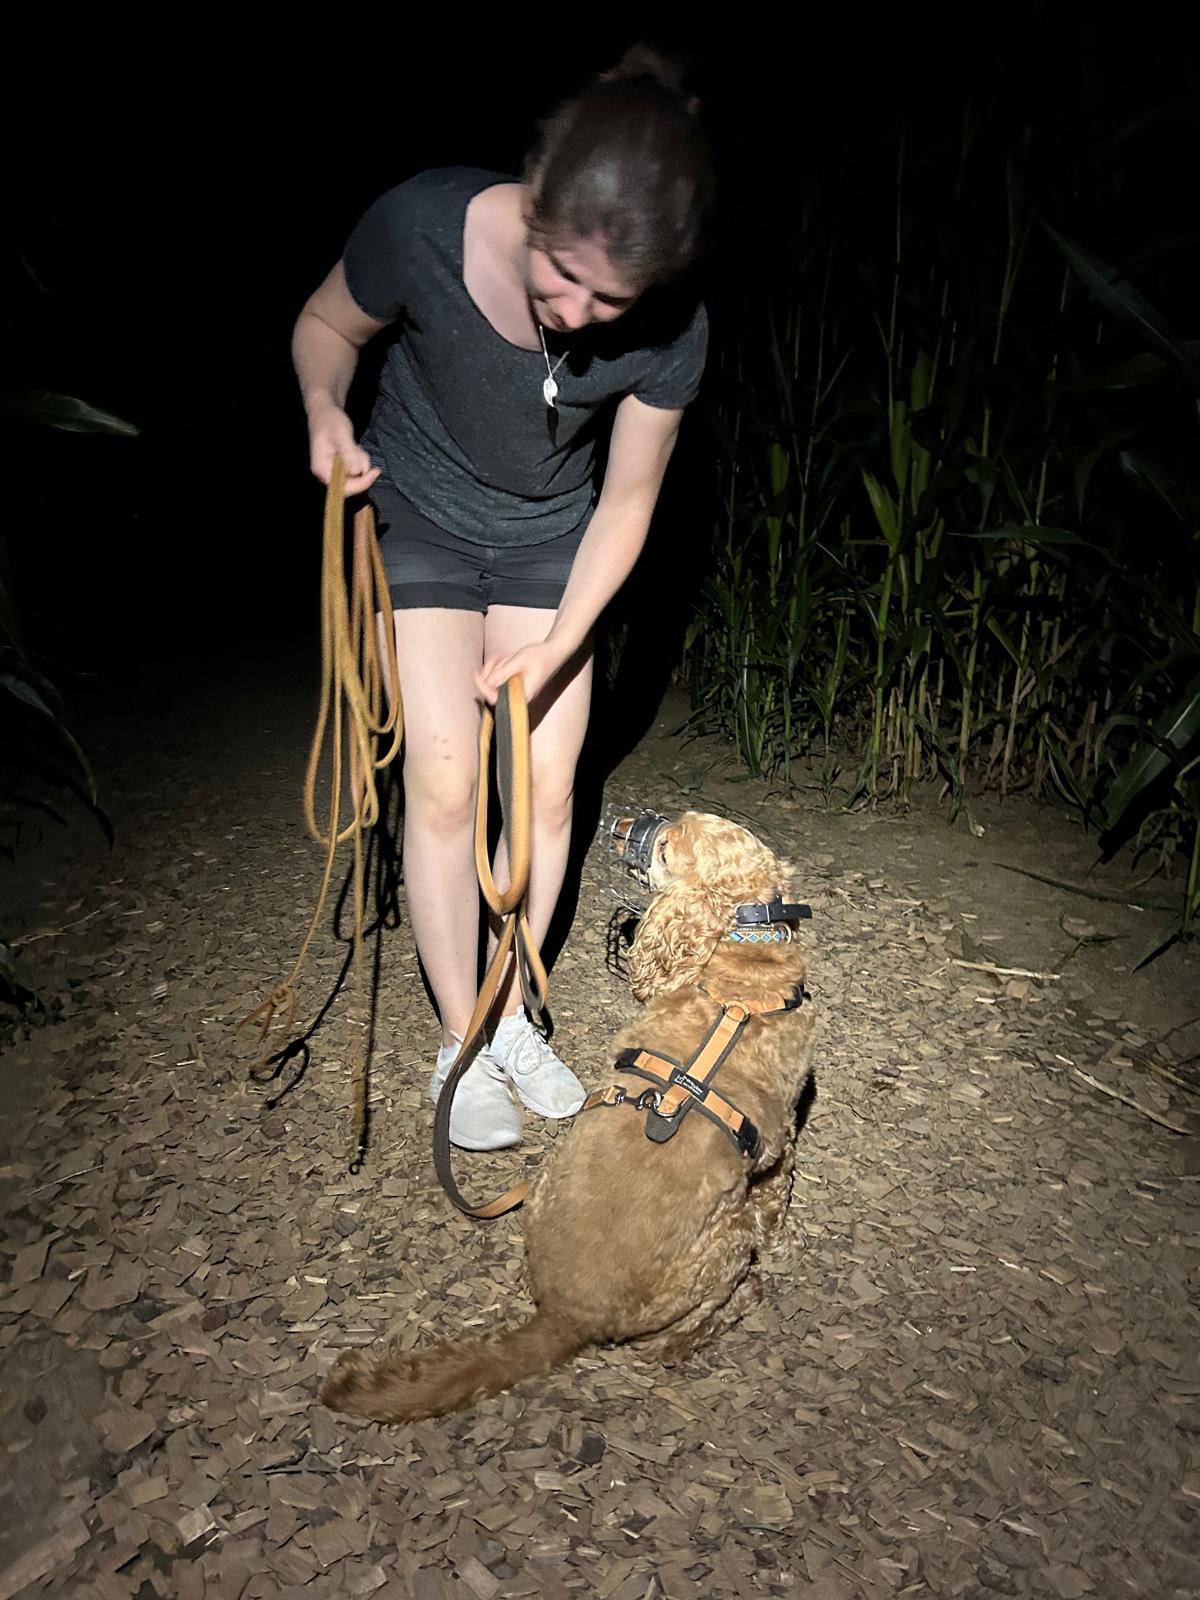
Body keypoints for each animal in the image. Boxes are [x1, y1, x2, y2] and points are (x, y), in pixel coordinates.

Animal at [320, 811, 816, 1422]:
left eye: (667, 847)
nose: (622, 822)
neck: (740, 969)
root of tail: (568, 1314)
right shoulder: (779, 1144)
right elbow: (776, 1202)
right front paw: (786, 1244)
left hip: (544, 1185)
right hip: (728, 1240)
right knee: (667, 1344)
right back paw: (744, 1298)